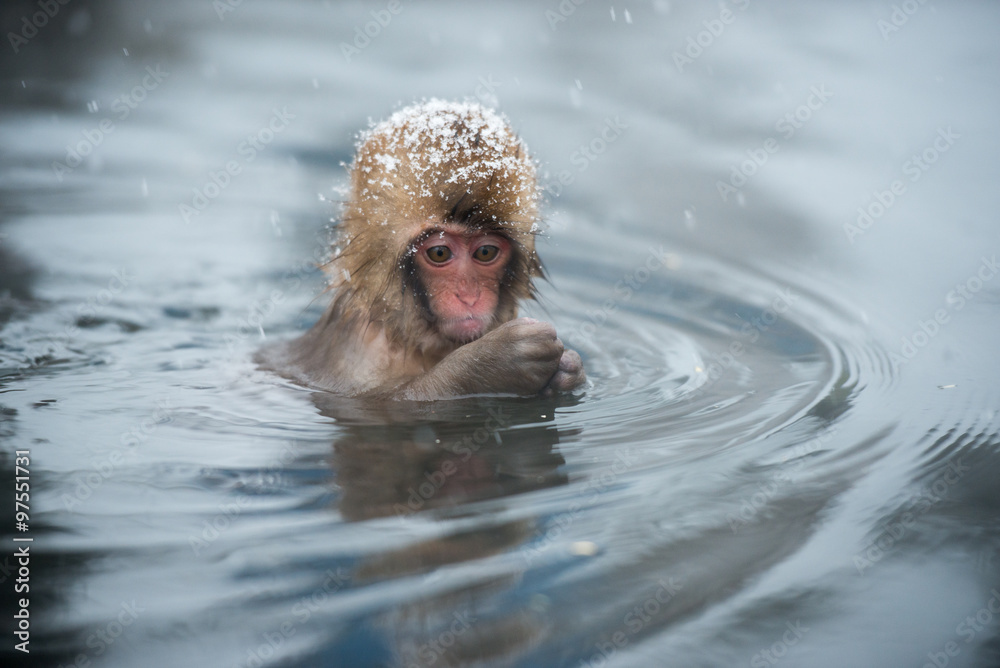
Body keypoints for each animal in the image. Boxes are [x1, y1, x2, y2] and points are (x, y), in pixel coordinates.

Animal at [259, 100, 585, 400]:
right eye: (439, 253)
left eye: (485, 253)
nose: (469, 296)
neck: (398, 331)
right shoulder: (357, 357)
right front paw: (494, 361)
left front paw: (569, 370)